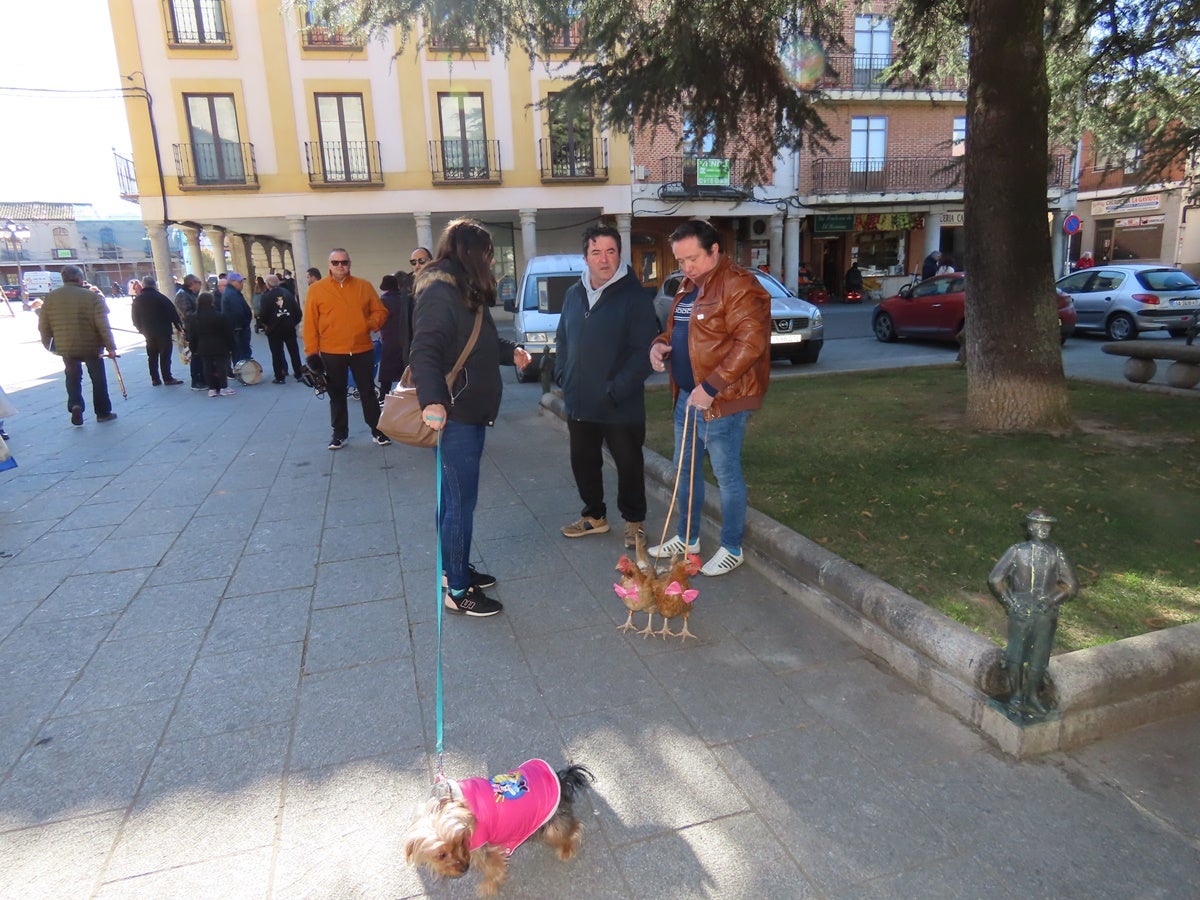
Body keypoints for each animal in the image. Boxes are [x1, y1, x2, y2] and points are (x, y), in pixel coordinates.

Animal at [403, 763, 595, 897]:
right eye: (441, 855)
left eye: (462, 840)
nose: (464, 868)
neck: (445, 802)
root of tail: (561, 779)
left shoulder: (484, 845)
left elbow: (493, 868)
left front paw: (488, 887)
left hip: (552, 823)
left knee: (571, 827)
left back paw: (567, 848)